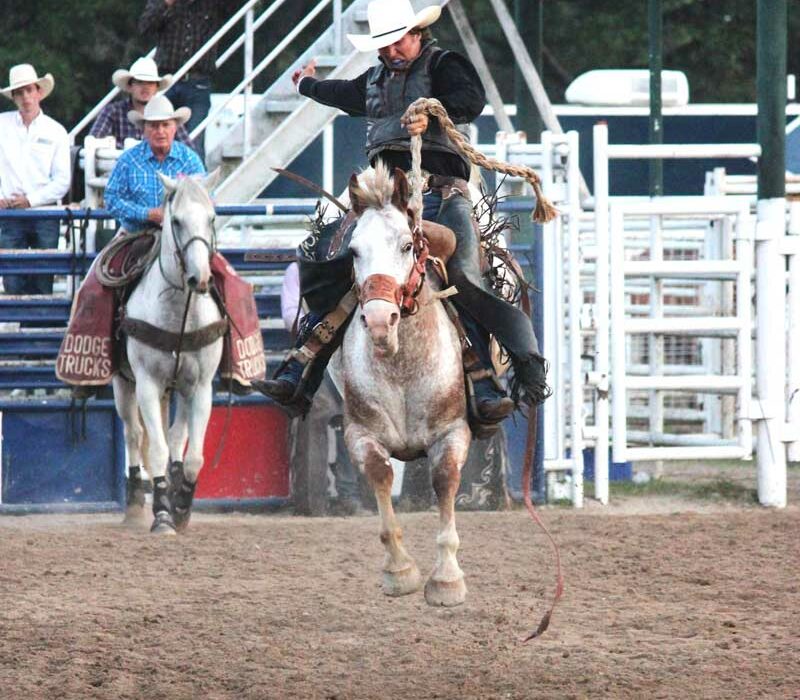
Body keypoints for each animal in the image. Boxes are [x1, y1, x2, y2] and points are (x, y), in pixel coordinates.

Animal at [113, 172, 225, 532]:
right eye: (176, 221)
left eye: (212, 218)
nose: (199, 277)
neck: (180, 316)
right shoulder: (147, 384)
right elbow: (157, 450)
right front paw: (162, 514)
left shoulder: (202, 387)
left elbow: (193, 456)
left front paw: (182, 507)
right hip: (123, 383)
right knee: (134, 435)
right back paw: (135, 503)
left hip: (181, 389)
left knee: (176, 437)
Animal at [340, 165, 472, 608]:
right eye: (353, 251)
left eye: (405, 246)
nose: (380, 321)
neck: (402, 367)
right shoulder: (359, 432)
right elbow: (380, 473)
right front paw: (399, 570)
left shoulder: (453, 431)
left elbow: (444, 479)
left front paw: (447, 580)